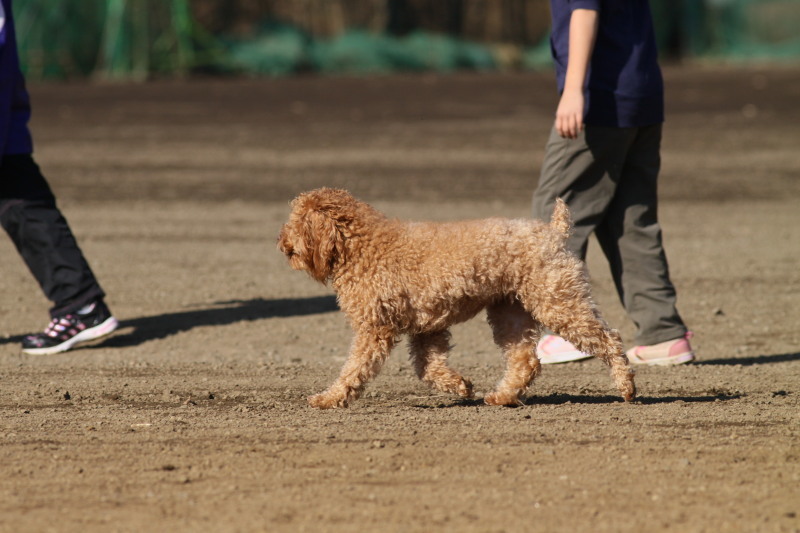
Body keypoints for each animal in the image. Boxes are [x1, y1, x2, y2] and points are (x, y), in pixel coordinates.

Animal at [278, 187, 636, 408]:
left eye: (295, 222)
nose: (281, 243)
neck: (362, 246)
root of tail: (553, 232)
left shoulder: (375, 328)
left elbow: (354, 368)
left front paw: (329, 399)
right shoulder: (426, 326)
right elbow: (428, 368)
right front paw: (460, 386)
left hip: (557, 300)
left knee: (610, 339)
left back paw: (627, 387)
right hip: (510, 310)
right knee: (525, 360)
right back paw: (503, 396)